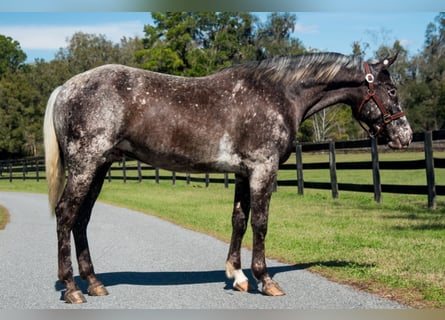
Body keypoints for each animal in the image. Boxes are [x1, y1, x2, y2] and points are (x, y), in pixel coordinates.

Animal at [43, 52, 412, 302]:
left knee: (81, 219)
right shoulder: (263, 169)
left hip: (99, 168)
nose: (405, 136)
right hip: (86, 166)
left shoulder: (243, 173)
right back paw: (72, 288)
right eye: (392, 90)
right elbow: (260, 223)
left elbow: (239, 220)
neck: (279, 94)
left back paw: (94, 283)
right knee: (66, 214)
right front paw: (266, 280)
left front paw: (237, 276)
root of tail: (65, 88)